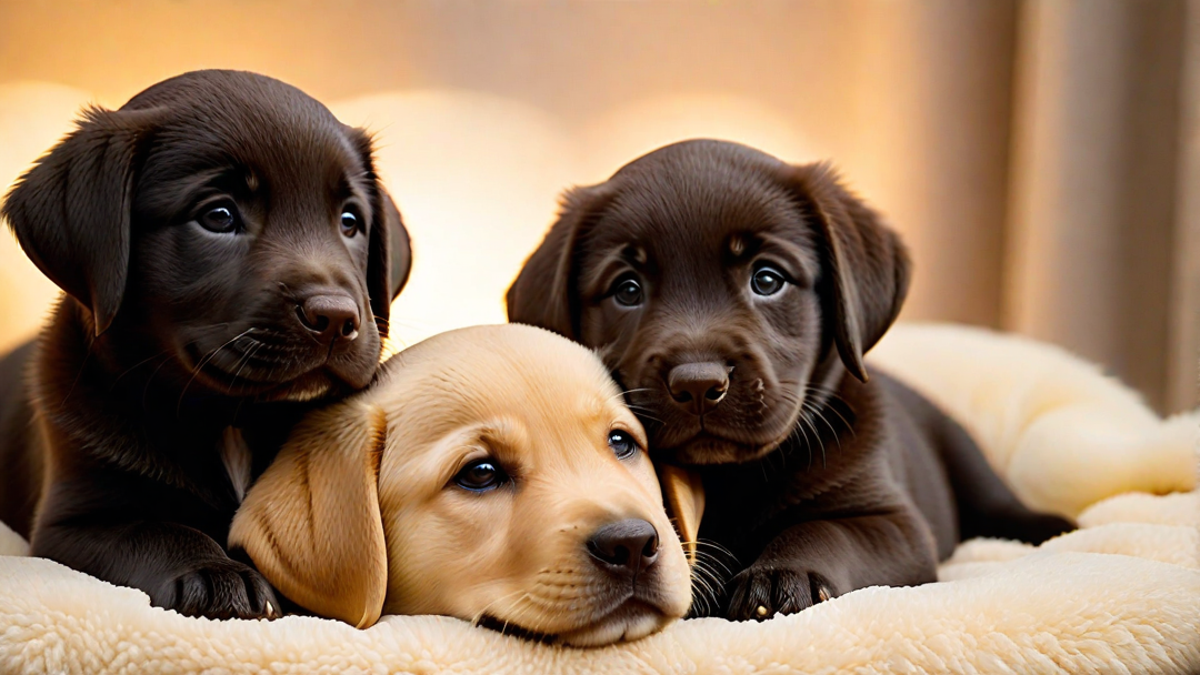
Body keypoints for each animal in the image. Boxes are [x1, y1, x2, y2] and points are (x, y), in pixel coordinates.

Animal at [0, 70, 412, 619]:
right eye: (218, 216)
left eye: (350, 222)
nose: (335, 318)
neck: (229, 419)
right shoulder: (70, 523)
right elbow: (153, 529)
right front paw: (216, 574)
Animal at [511, 138, 1075, 619]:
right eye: (626, 289)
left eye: (767, 279)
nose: (697, 384)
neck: (732, 479)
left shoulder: (895, 524)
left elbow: (824, 531)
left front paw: (783, 575)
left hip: (960, 449)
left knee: (997, 500)